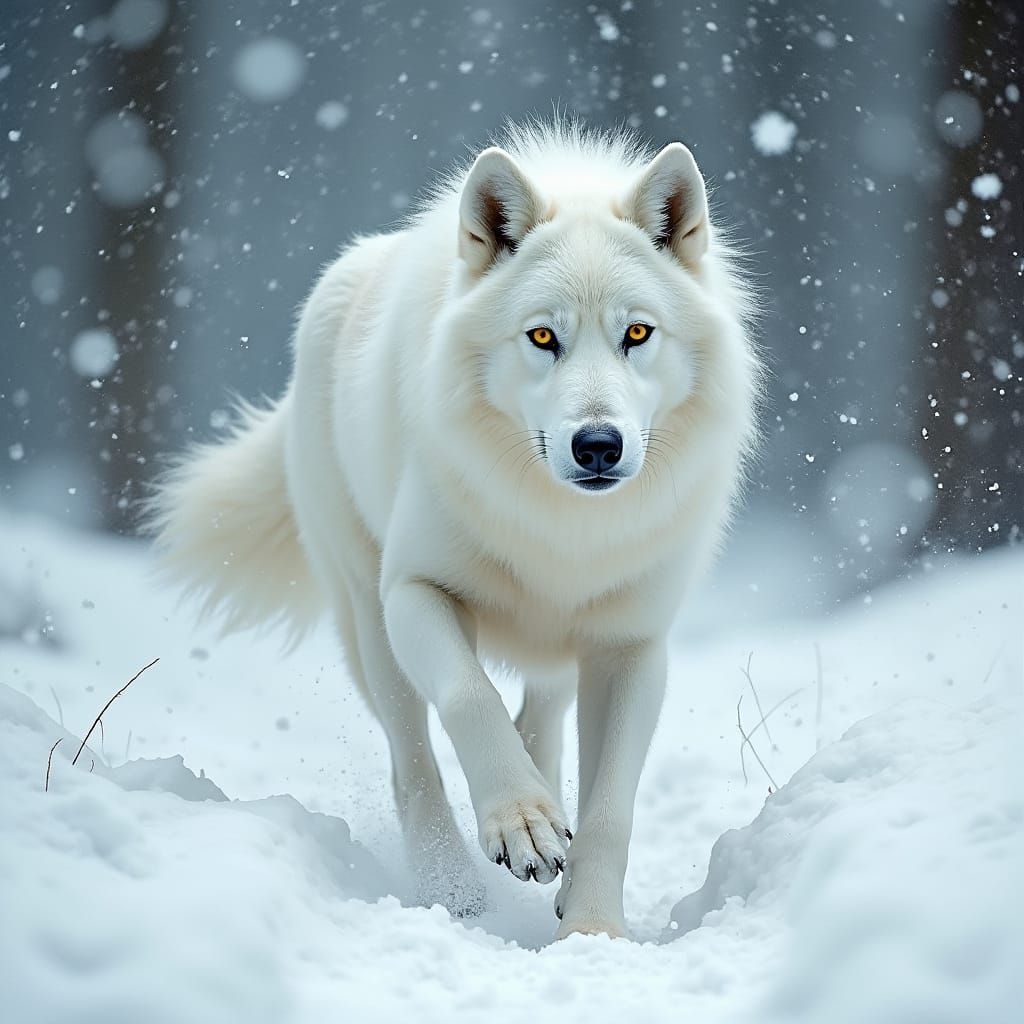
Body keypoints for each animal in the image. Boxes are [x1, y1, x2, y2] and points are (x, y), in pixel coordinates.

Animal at [151, 121, 760, 939]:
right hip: (368, 621)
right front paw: (521, 822)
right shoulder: (417, 589)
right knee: (412, 760)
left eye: (637, 332)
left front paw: (592, 929)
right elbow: (470, 698)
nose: (598, 445)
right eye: (542, 337)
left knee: (542, 712)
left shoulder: (631, 647)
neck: (563, 529)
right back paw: (455, 884)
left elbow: (611, 810)